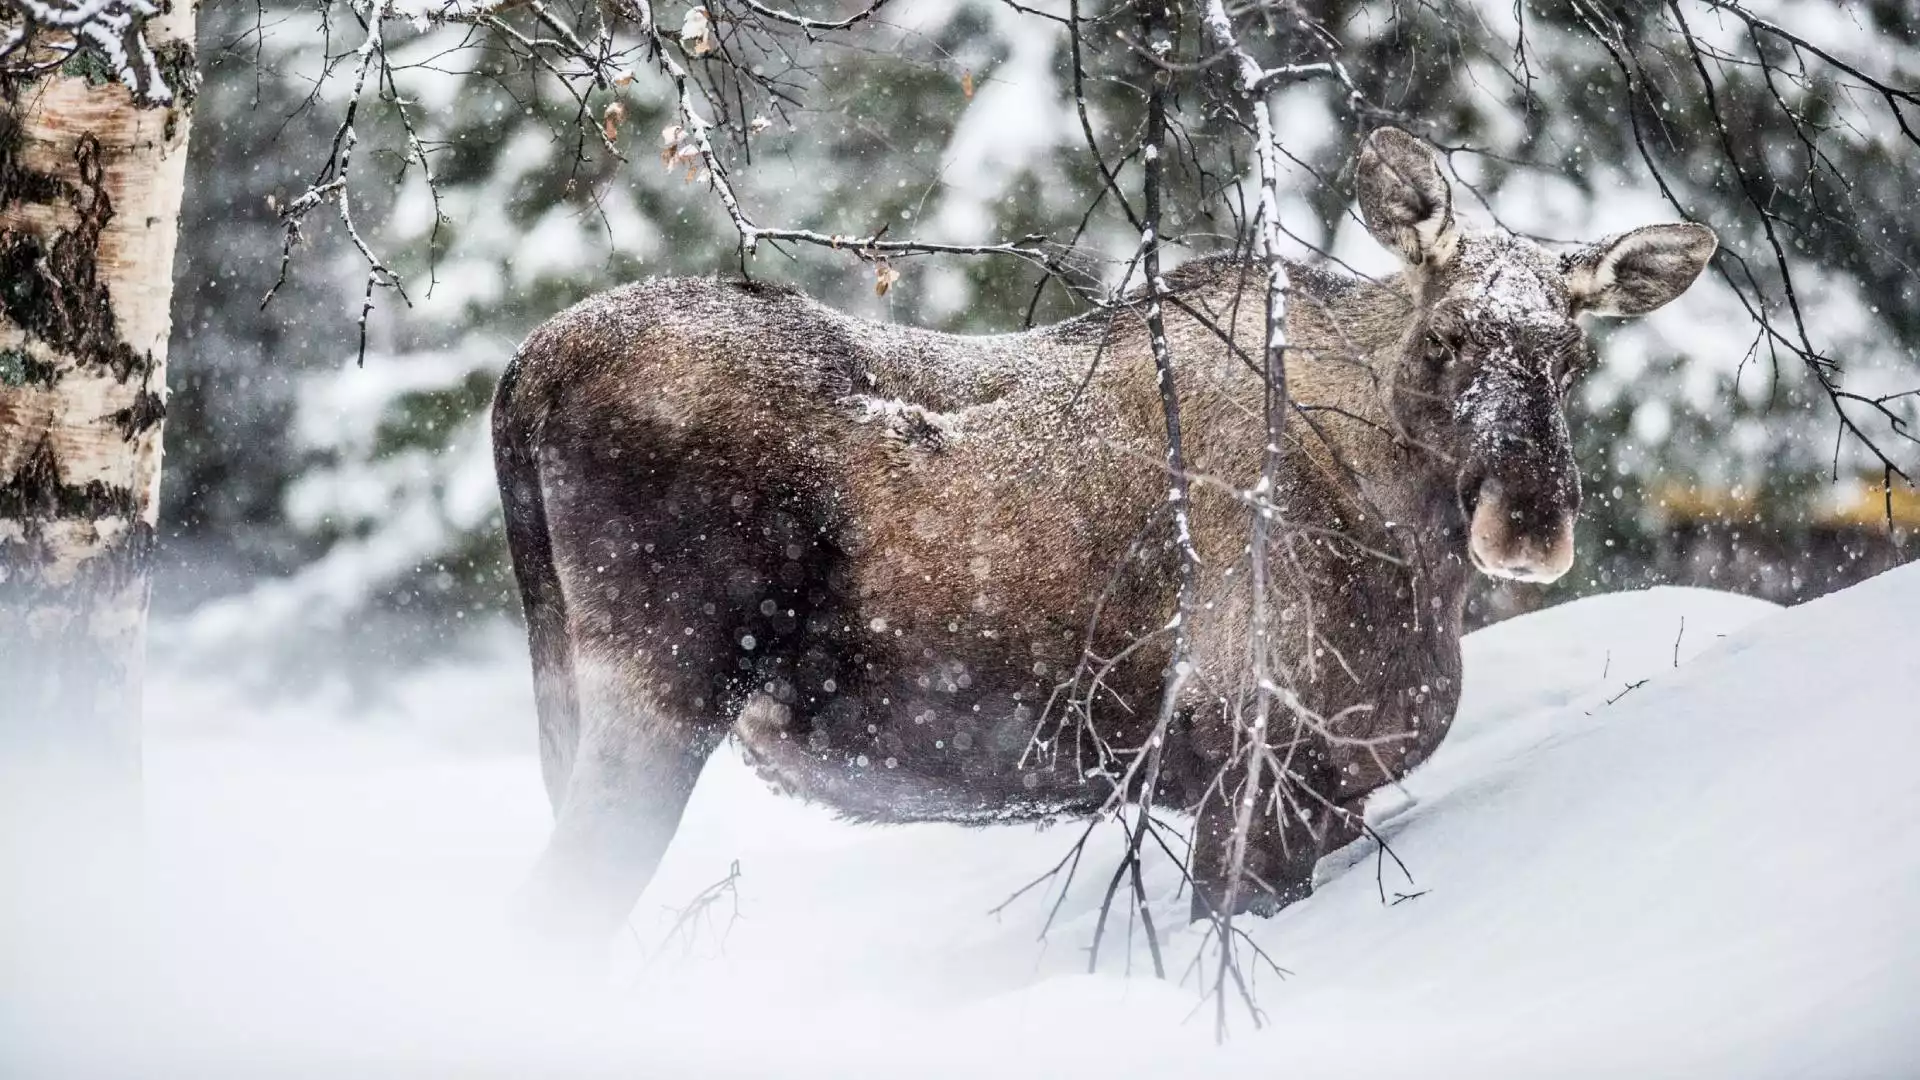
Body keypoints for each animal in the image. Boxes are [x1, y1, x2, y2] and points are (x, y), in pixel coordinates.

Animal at [491, 125, 1712, 937]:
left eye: (1572, 355)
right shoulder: (1260, 768)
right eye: (1450, 336)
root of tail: (526, 371)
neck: (1406, 542)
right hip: (659, 687)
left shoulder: (1328, 789)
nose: (1529, 521)